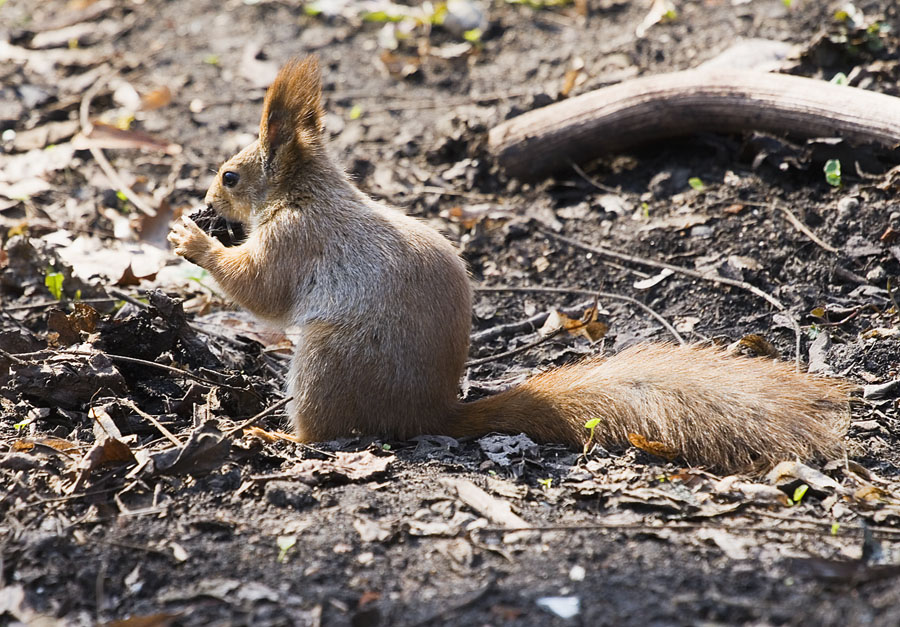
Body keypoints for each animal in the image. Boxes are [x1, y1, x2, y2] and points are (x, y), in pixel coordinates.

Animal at [168, 56, 851, 474]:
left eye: (231, 176)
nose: (205, 204)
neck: (305, 193)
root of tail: (429, 413)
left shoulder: (295, 240)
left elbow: (261, 289)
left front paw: (192, 242)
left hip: (325, 364)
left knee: (323, 433)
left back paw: (275, 436)